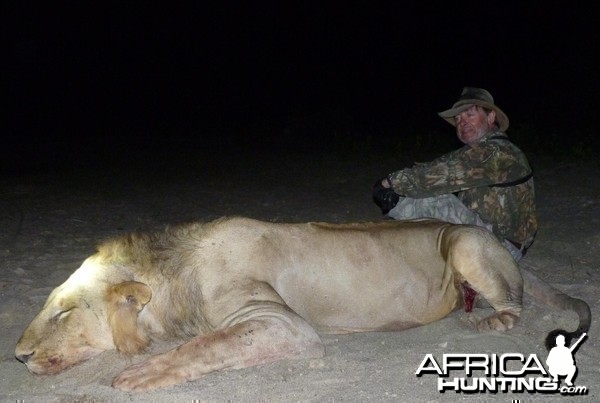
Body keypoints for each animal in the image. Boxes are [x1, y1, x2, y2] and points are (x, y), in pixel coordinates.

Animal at [15, 218, 592, 392]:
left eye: (63, 313)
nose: (18, 355)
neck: (172, 277)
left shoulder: (281, 324)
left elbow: (207, 344)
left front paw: (139, 374)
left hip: (468, 243)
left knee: (515, 305)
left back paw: (488, 323)